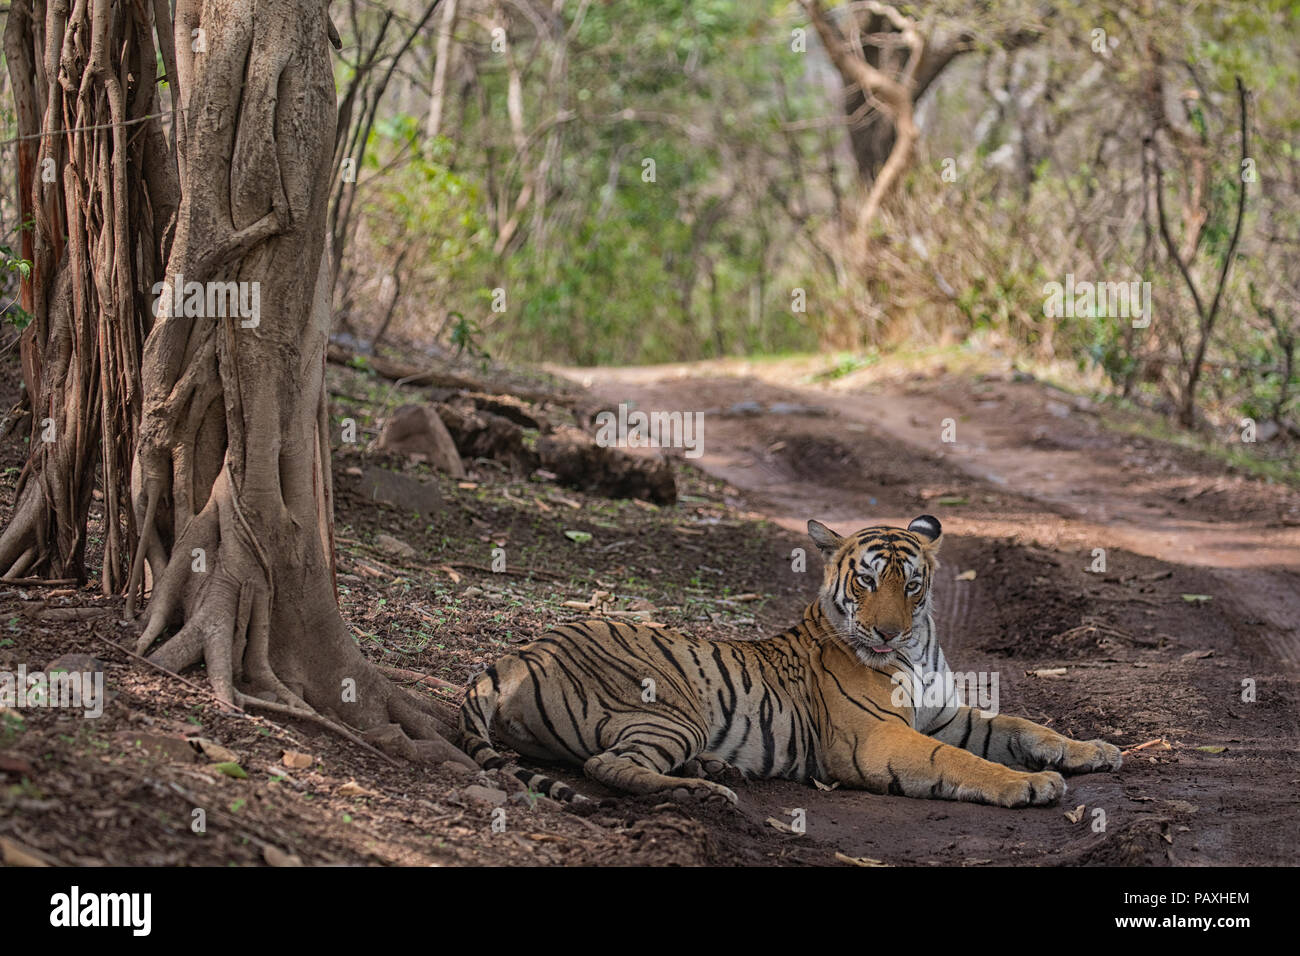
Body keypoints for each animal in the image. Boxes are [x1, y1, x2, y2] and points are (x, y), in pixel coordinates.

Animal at [457, 515, 1118, 806]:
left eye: (910, 585)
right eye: (866, 580)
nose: (886, 632)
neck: (916, 648)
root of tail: (514, 654)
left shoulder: (945, 715)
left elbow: (1021, 727)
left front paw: (1095, 751)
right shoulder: (878, 739)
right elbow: (959, 762)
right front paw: (1030, 784)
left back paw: (716, 771)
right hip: (669, 710)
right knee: (606, 764)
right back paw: (704, 793)